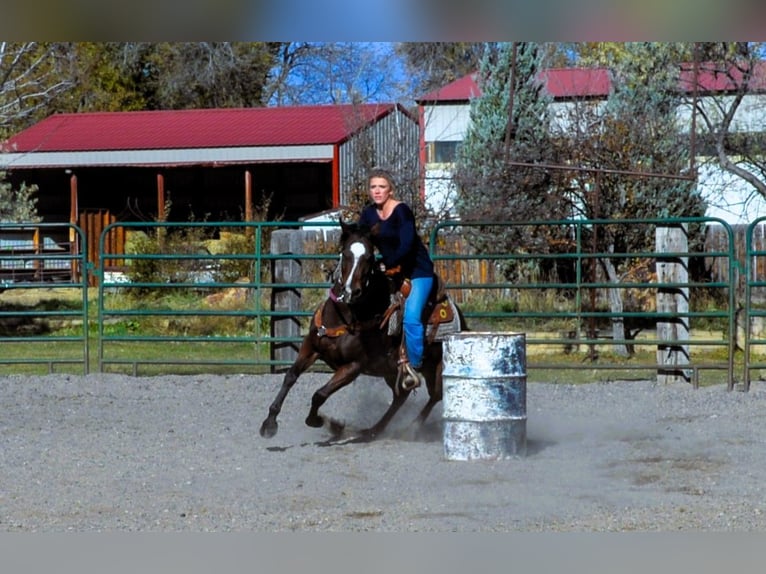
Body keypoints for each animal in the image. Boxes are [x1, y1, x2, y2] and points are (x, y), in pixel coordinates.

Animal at [260, 219, 468, 440]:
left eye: (369, 257)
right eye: (345, 253)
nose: (351, 290)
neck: (343, 318)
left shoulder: (353, 367)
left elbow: (320, 394)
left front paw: (322, 422)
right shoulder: (311, 348)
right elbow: (290, 376)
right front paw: (269, 423)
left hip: (434, 365)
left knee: (435, 394)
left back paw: (411, 427)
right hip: (390, 371)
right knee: (401, 396)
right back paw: (373, 430)